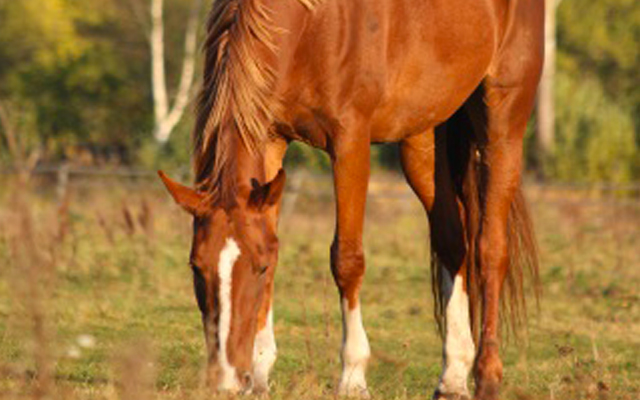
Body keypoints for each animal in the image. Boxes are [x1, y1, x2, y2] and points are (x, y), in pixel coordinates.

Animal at [158, 0, 543, 399]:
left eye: (257, 268)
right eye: (195, 267)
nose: (226, 379)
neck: (310, 27)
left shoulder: (350, 141)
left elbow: (346, 259)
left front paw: (353, 376)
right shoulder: (270, 138)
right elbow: (275, 243)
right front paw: (261, 371)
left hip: (503, 122)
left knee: (490, 249)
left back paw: (487, 374)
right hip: (422, 136)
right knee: (453, 241)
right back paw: (453, 375)